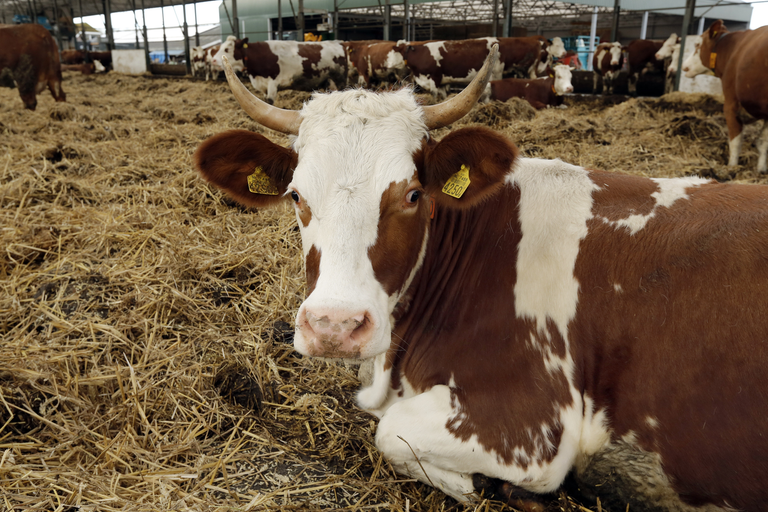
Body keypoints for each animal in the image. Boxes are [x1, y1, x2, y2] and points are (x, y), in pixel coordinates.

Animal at [194, 47, 768, 512]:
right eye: (296, 195)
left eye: (412, 194)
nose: (335, 326)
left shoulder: (531, 425)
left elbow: (391, 434)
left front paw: (492, 488)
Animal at [208, 37, 346, 104]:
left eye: (227, 49)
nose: (213, 60)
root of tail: (338, 43)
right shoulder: (263, 86)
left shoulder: (272, 83)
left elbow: (269, 102)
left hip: (339, 82)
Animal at [684, 20, 768, 172]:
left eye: (697, 44)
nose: (684, 66)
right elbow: (764, 141)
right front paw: (761, 169)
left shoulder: (730, 103)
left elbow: (736, 140)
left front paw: (732, 166)